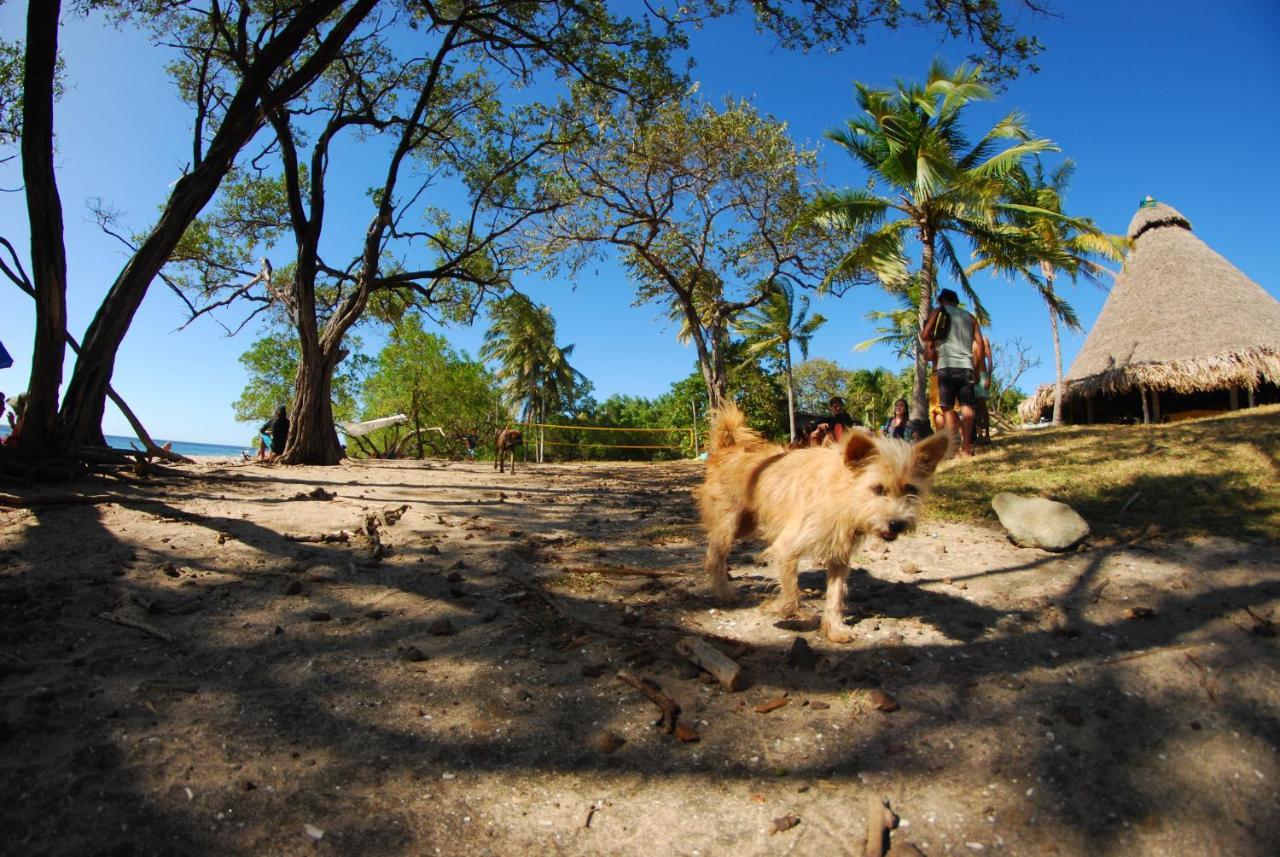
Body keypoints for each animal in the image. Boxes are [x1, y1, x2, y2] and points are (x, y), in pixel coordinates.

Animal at [701, 404, 952, 644]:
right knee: (713, 556)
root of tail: (727, 448)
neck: (842, 493)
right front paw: (772, 608)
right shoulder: (785, 547)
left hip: (747, 525)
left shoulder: (839, 557)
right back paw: (724, 592)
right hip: (729, 524)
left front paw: (835, 630)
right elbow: (792, 598)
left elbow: (835, 596)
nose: (896, 524)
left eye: (911, 490)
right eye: (878, 489)